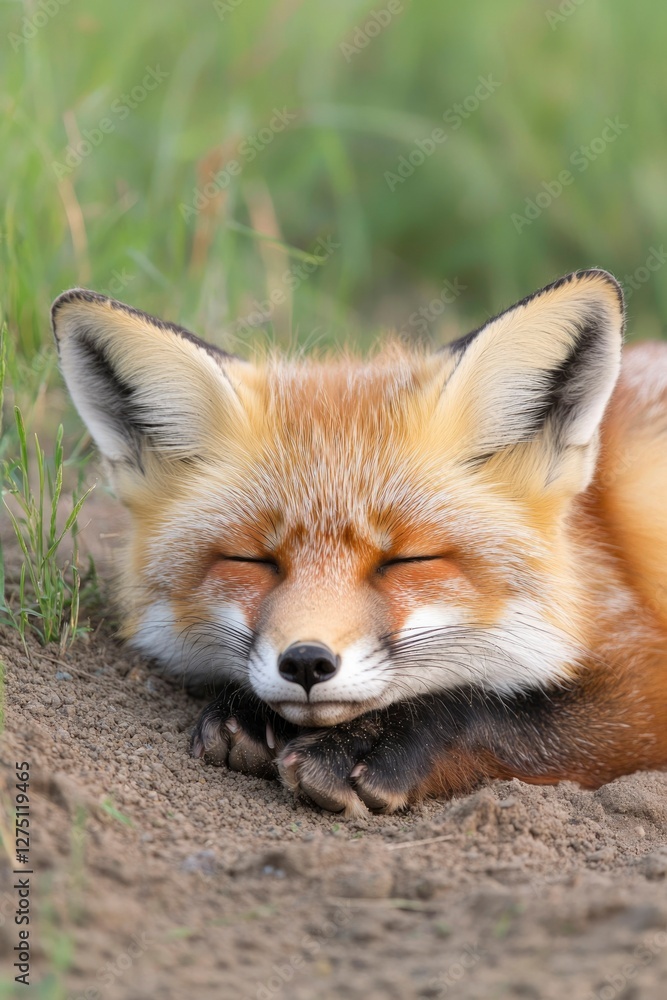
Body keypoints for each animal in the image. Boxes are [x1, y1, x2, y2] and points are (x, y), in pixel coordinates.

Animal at [51, 269, 667, 817]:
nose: (305, 662)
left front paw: (365, 744)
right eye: (252, 560)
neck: (588, 561)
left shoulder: (642, 675)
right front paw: (249, 711)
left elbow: (495, 709)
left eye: (407, 560)